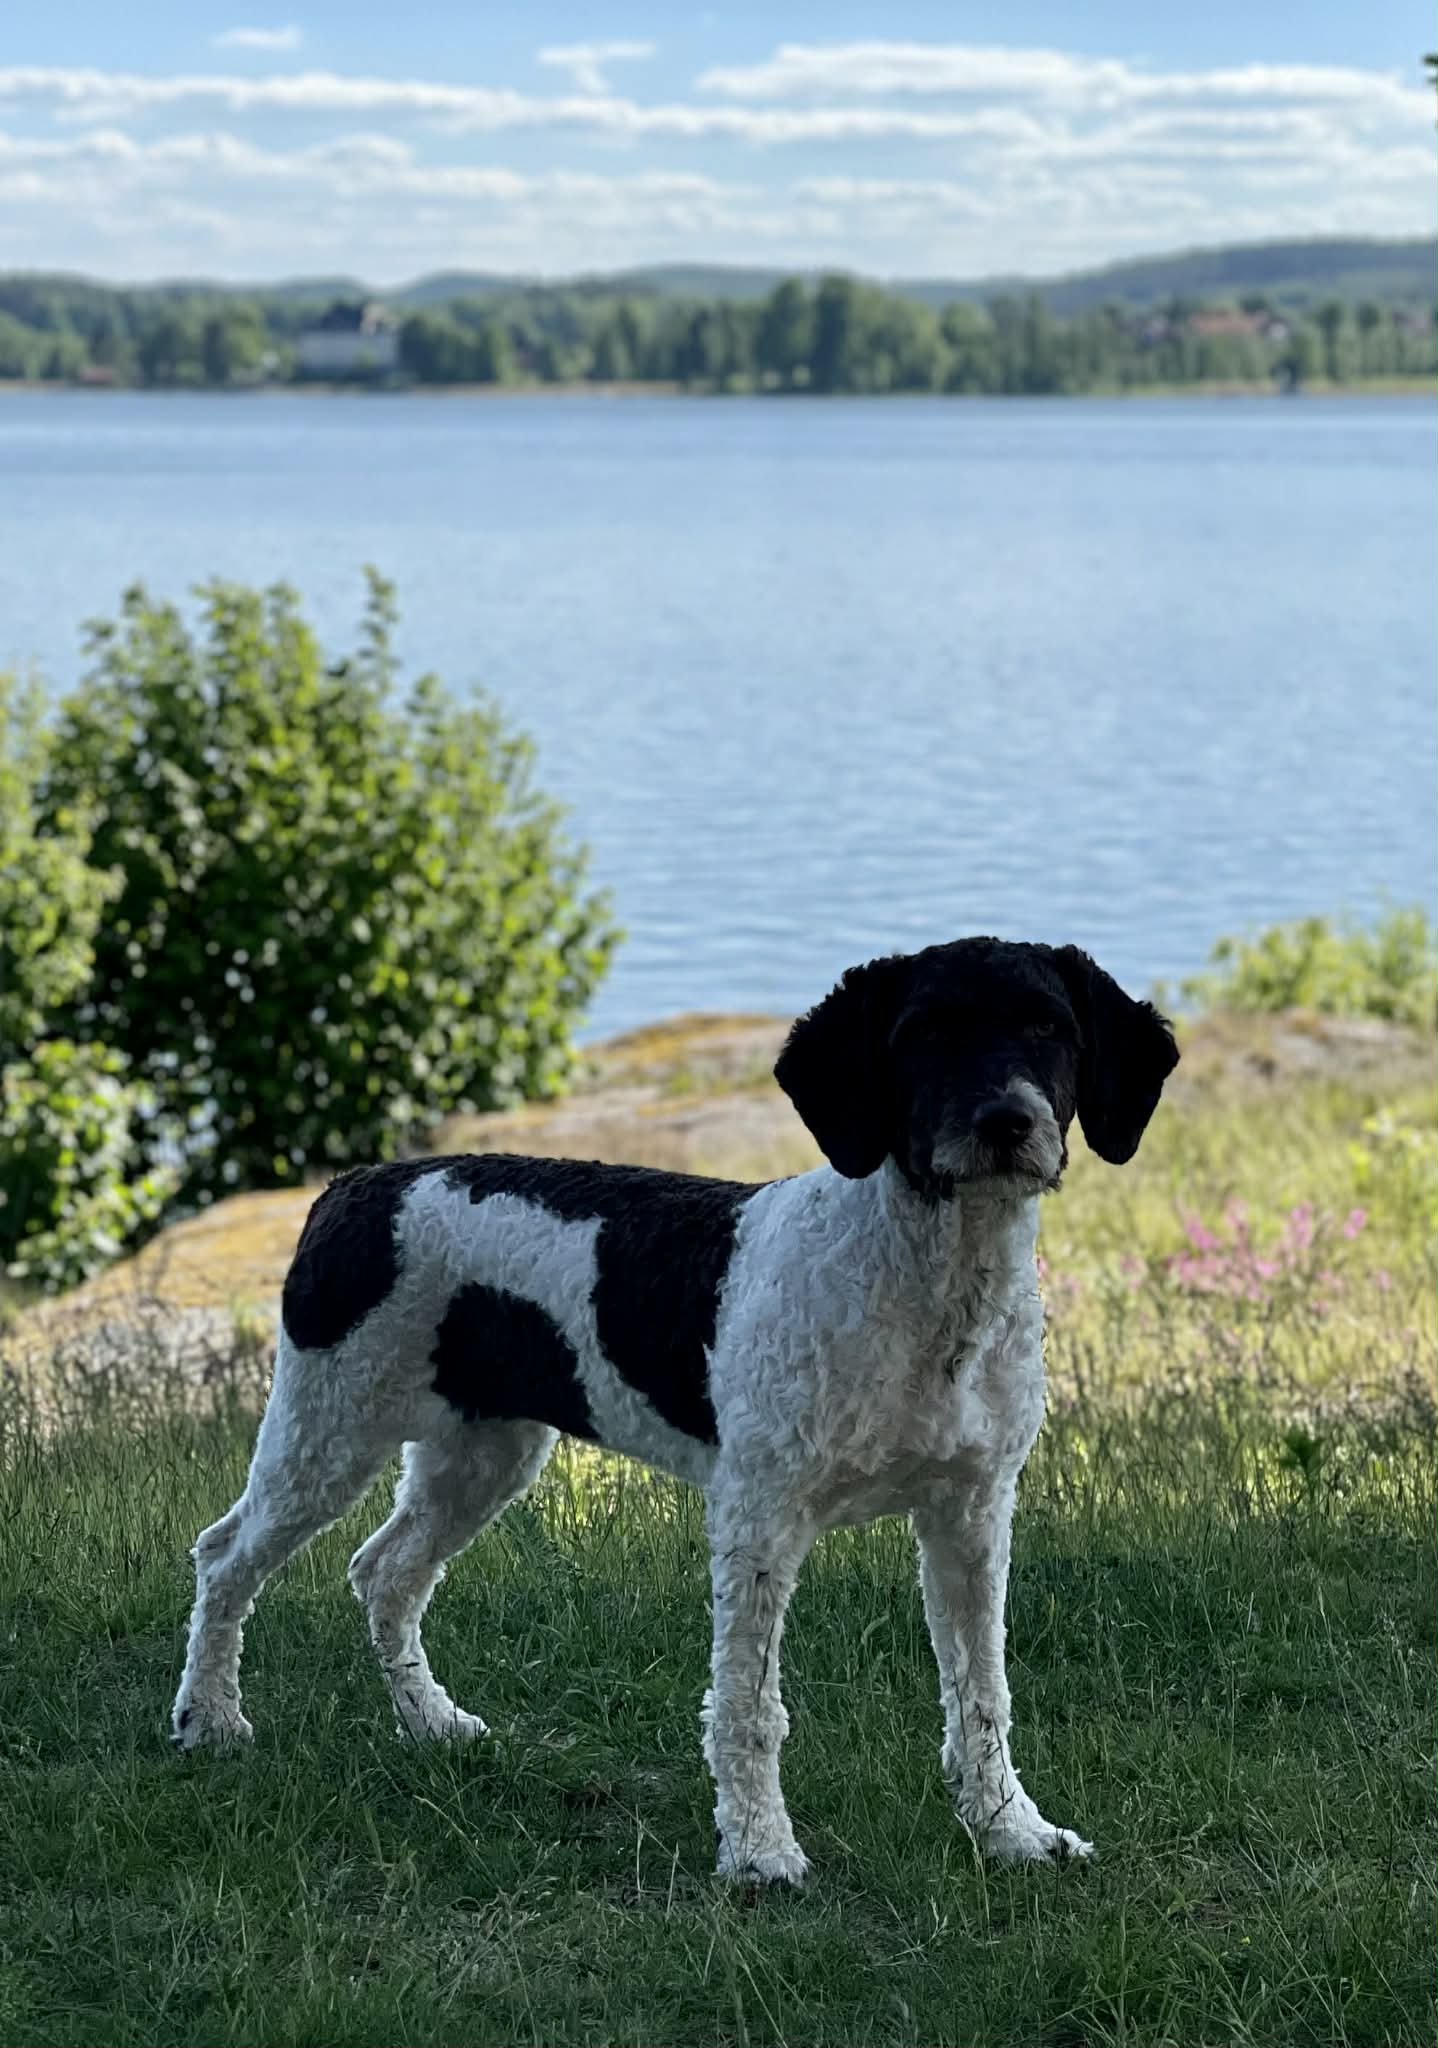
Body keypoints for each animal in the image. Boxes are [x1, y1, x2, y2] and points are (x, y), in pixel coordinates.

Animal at [173, 936, 1177, 1884]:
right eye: (925, 1034)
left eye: (1049, 1028)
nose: (1006, 1121)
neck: (921, 1294)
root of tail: (351, 1188)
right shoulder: (760, 1519)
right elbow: (749, 1706)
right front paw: (761, 1853)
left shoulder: (970, 1516)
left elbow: (982, 1695)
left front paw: (1010, 1832)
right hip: (327, 1431)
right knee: (225, 1557)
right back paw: (208, 1720)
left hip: (479, 1455)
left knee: (383, 1571)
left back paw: (430, 1722)